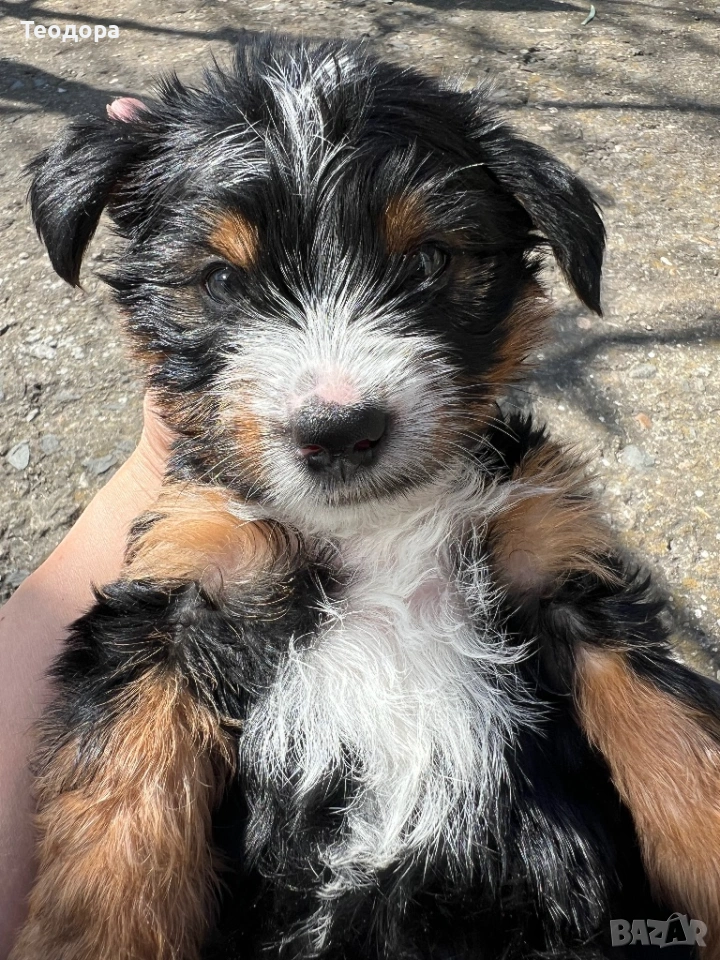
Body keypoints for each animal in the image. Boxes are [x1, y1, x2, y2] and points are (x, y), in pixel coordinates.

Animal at [12, 33, 720, 960]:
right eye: (221, 282)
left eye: (426, 261)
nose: (340, 429)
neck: (375, 530)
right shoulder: (176, 589)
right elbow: (114, 818)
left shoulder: (557, 562)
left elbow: (678, 742)